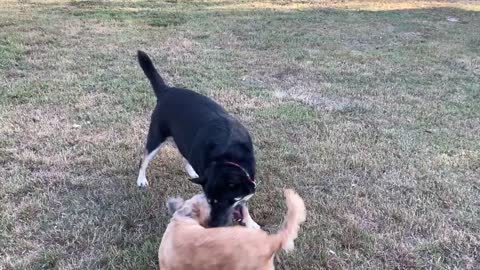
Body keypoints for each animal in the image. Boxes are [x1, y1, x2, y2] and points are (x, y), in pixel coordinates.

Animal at [136, 50, 258, 228]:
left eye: (227, 201)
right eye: (210, 201)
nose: (214, 225)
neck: (228, 156)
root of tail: (167, 91)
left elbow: (244, 205)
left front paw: (250, 222)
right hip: (156, 137)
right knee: (144, 159)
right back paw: (141, 179)